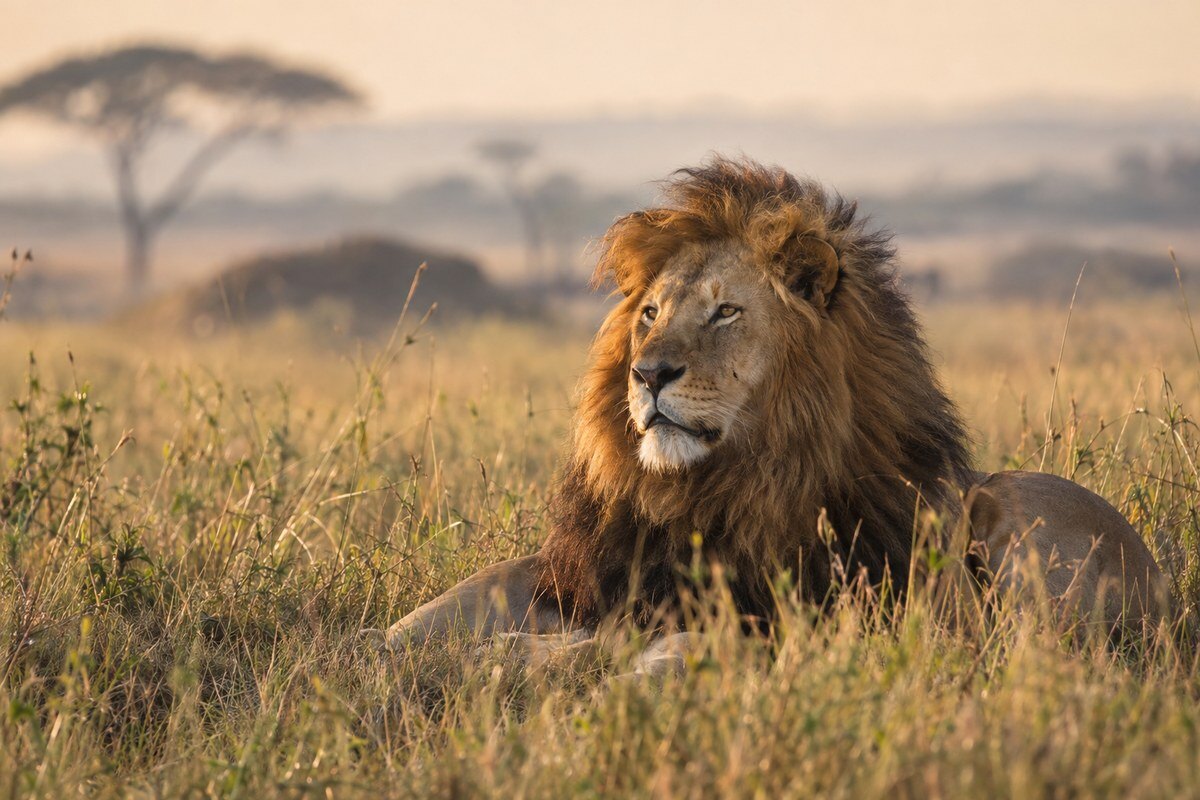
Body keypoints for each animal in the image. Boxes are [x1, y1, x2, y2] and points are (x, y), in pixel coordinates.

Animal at [372, 158, 1166, 676]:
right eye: (650, 314)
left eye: (726, 312)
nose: (648, 374)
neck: (702, 490)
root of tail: (1162, 591)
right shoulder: (595, 578)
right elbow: (426, 623)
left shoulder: (796, 607)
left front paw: (539, 659)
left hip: (1007, 505)